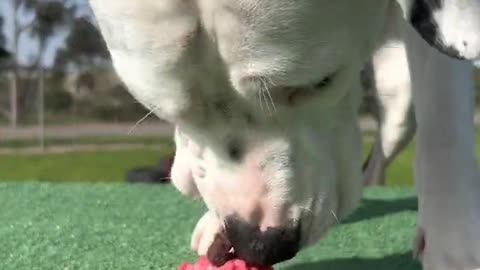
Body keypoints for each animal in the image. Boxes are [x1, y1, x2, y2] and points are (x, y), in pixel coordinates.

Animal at [88, 1, 478, 268]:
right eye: (165, 112)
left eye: (320, 82)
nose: (260, 245)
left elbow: (443, 114)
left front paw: (452, 239)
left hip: (398, 104)